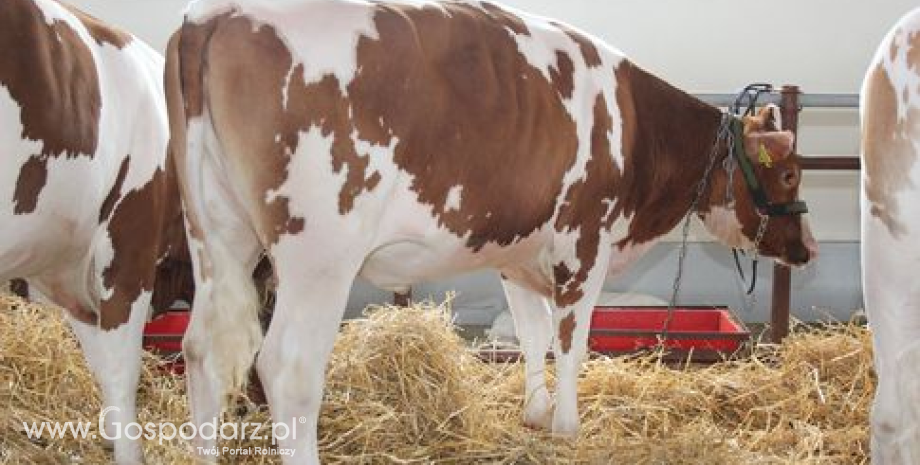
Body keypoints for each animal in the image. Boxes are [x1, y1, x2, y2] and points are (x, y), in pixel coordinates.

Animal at [165, 0, 812, 460]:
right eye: (788, 172)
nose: (806, 248)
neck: (634, 129)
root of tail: (212, 17)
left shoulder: (518, 255)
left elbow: (531, 334)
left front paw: (535, 414)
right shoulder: (586, 243)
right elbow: (571, 342)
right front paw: (568, 427)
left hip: (218, 238)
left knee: (202, 351)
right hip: (317, 253)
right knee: (287, 367)